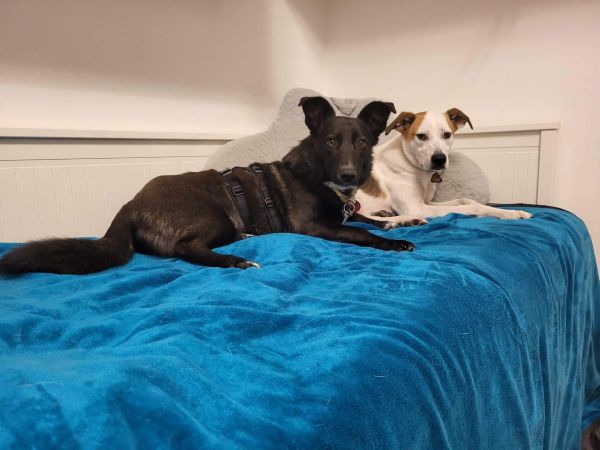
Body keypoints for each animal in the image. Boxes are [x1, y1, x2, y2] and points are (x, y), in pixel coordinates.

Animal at [0, 96, 415, 275]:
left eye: (362, 142)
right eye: (330, 141)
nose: (348, 176)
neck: (319, 176)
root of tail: (130, 205)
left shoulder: (345, 211)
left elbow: (368, 219)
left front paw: (401, 221)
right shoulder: (312, 226)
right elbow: (359, 233)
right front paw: (393, 243)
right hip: (216, 216)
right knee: (186, 248)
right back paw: (235, 259)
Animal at [355, 108, 533, 227]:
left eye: (447, 135)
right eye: (421, 136)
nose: (439, 159)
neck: (412, 164)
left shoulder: (427, 202)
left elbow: (464, 200)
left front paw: (513, 211)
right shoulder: (417, 208)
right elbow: (472, 206)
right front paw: (509, 213)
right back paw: (404, 220)